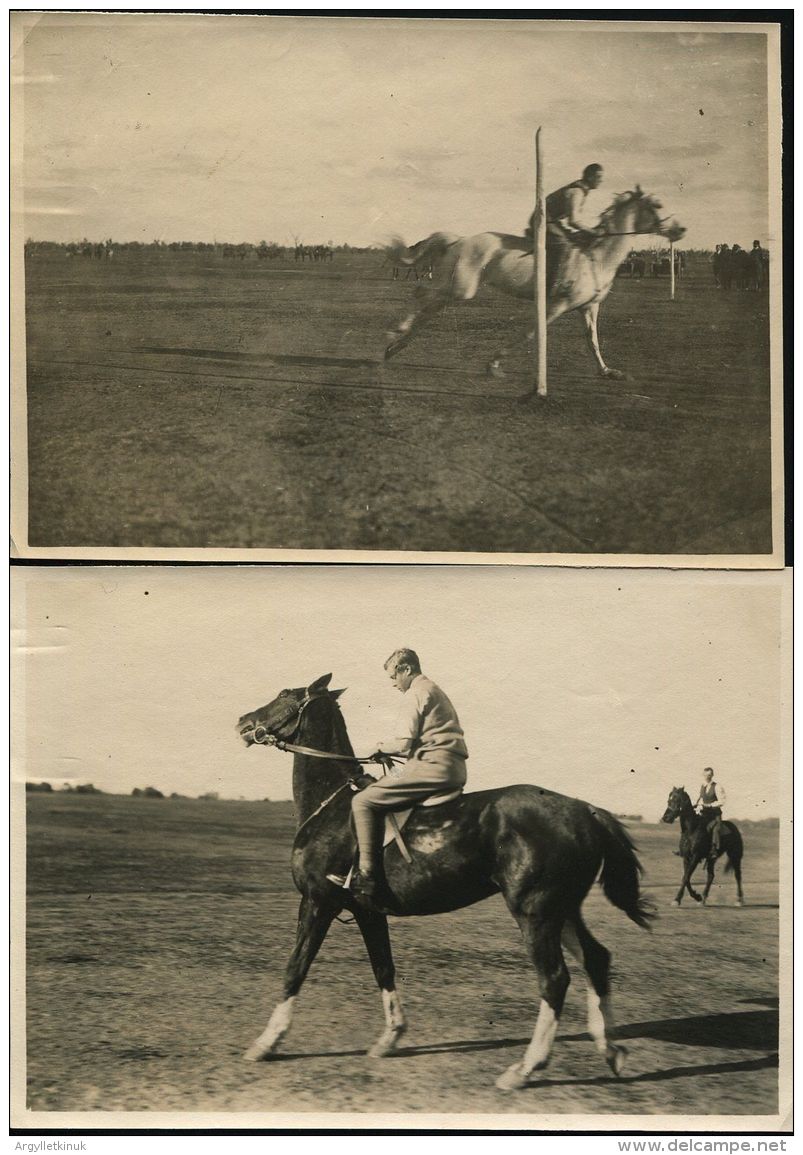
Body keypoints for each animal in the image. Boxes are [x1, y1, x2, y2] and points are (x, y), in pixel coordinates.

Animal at [235, 674, 656, 1085]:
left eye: (284, 693)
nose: (243, 722)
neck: (333, 806)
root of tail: (588, 811)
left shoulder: (318, 902)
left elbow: (296, 967)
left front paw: (266, 1042)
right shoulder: (368, 912)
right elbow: (383, 968)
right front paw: (390, 1037)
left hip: (535, 912)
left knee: (554, 979)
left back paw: (525, 1068)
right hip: (562, 910)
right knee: (596, 959)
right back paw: (609, 1049)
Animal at [383, 187, 683, 381]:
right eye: (657, 205)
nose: (681, 229)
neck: (596, 257)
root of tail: (459, 239)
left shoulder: (589, 307)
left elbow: (592, 341)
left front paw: (606, 371)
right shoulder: (557, 305)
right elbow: (530, 333)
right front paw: (494, 364)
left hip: (455, 288)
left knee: (428, 305)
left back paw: (396, 346)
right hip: (460, 288)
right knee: (422, 294)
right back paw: (395, 335)